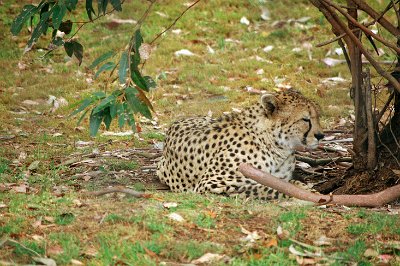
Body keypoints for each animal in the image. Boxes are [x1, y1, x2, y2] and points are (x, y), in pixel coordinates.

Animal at [157, 90, 324, 200]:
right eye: (305, 119)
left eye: (317, 116)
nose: (321, 135)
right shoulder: (208, 184)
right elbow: (261, 188)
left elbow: (287, 182)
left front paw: (305, 188)